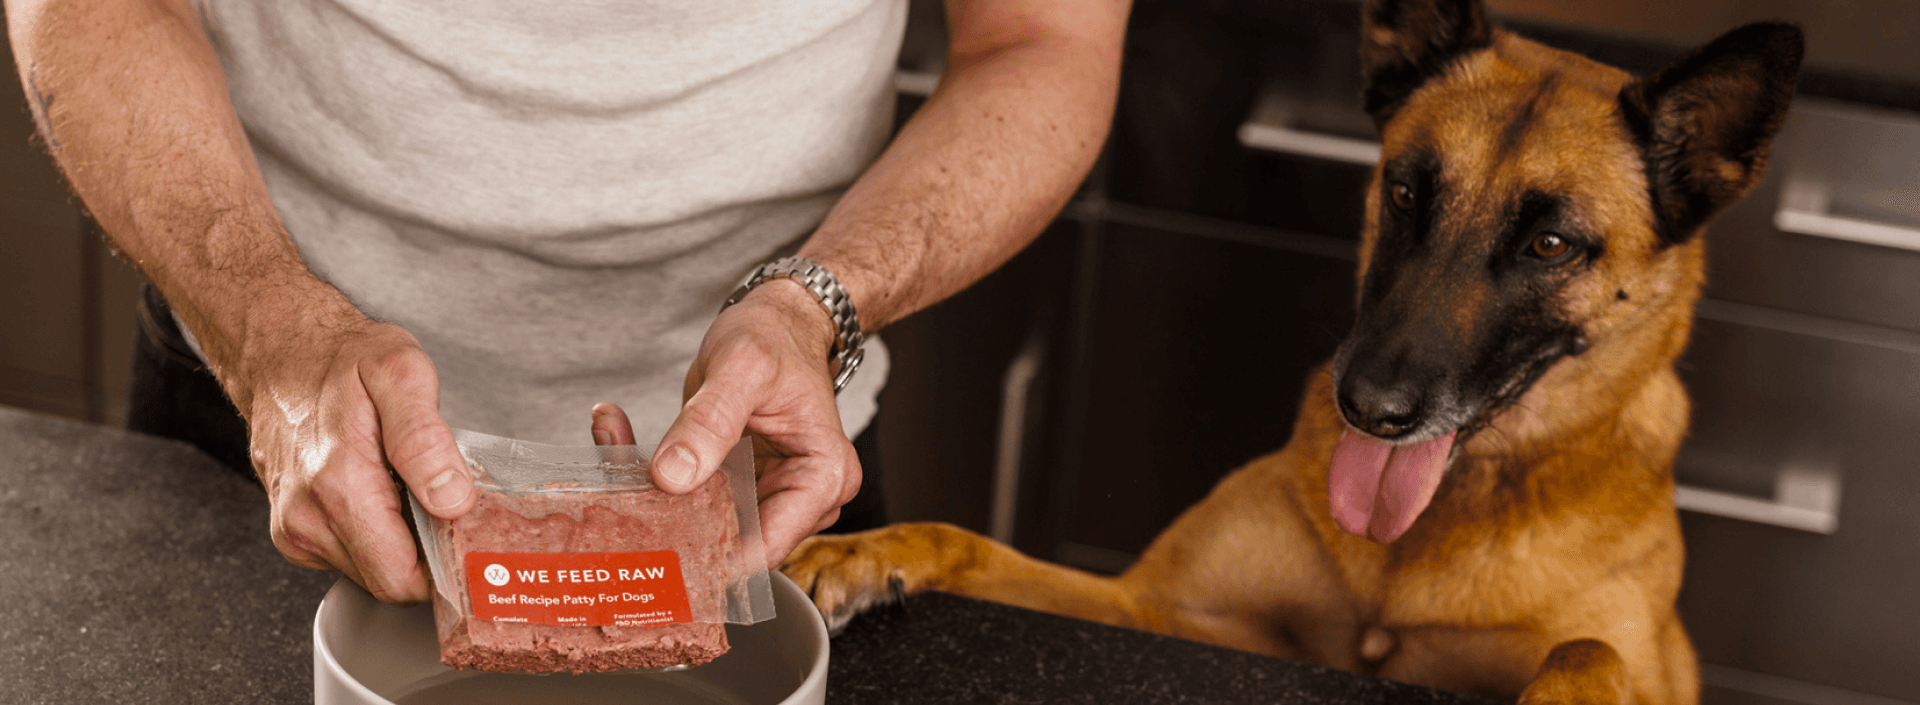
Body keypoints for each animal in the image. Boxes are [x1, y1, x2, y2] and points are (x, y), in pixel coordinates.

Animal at [779, 1, 1797, 703]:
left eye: (1551, 245)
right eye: (1405, 192)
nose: (1371, 407)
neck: (1413, 548)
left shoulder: (1640, 667)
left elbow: (1591, 648)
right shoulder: (1155, 609)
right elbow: (973, 543)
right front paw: (868, 548)